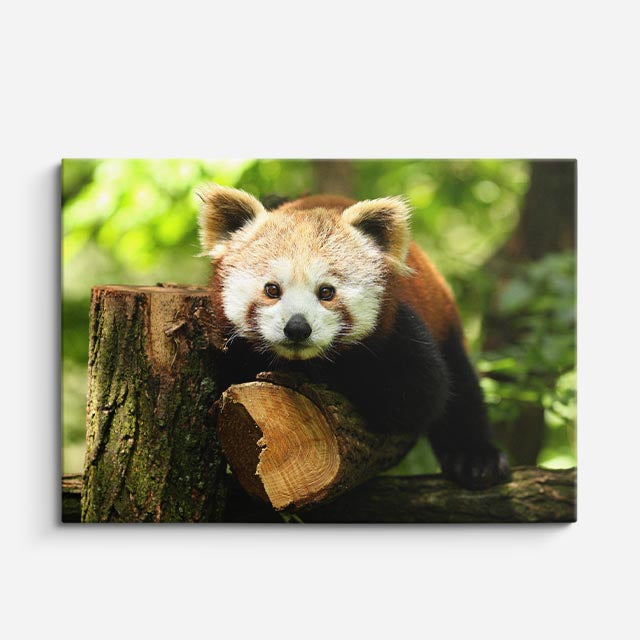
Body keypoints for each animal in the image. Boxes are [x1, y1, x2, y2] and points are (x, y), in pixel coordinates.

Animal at [198, 184, 511, 490]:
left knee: (461, 386)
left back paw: (475, 458)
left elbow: (419, 396)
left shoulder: (402, 335)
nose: (297, 328)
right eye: (272, 289)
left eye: (326, 292)